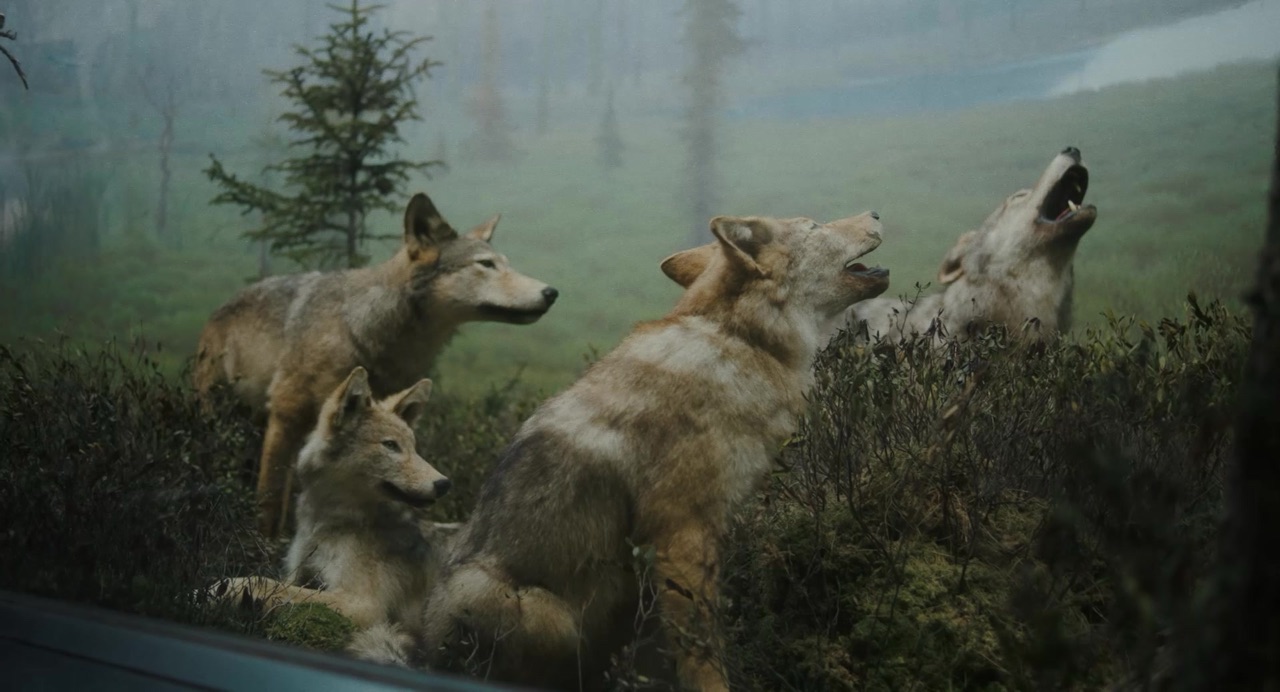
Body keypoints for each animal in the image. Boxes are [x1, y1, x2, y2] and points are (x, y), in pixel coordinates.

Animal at [193, 192, 559, 539]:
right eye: (486, 264)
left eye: (505, 264)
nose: (552, 292)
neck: (365, 331)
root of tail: (216, 314)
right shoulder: (286, 417)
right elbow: (270, 501)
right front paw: (266, 546)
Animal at [209, 367, 457, 637]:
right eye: (391, 445)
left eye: (413, 448)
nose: (444, 484)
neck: (324, 523)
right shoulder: (297, 574)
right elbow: (279, 585)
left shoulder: (362, 603)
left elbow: (264, 583)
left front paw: (222, 589)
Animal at [417, 211, 889, 691]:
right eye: (813, 226)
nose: (874, 214)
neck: (740, 341)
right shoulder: (681, 533)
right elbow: (703, 656)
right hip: (535, 610)